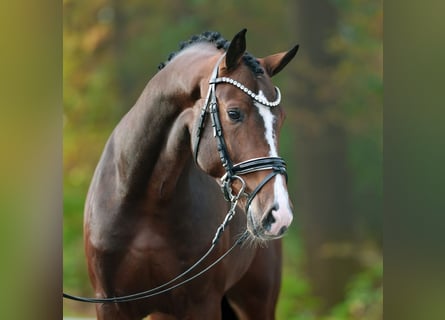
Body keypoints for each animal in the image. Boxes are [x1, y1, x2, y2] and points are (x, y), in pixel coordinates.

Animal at [83, 28, 298, 318]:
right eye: (234, 113)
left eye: (281, 118)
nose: (279, 213)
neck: (146, 203)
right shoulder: (111, 305)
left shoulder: (202, 303)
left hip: (257, 302)